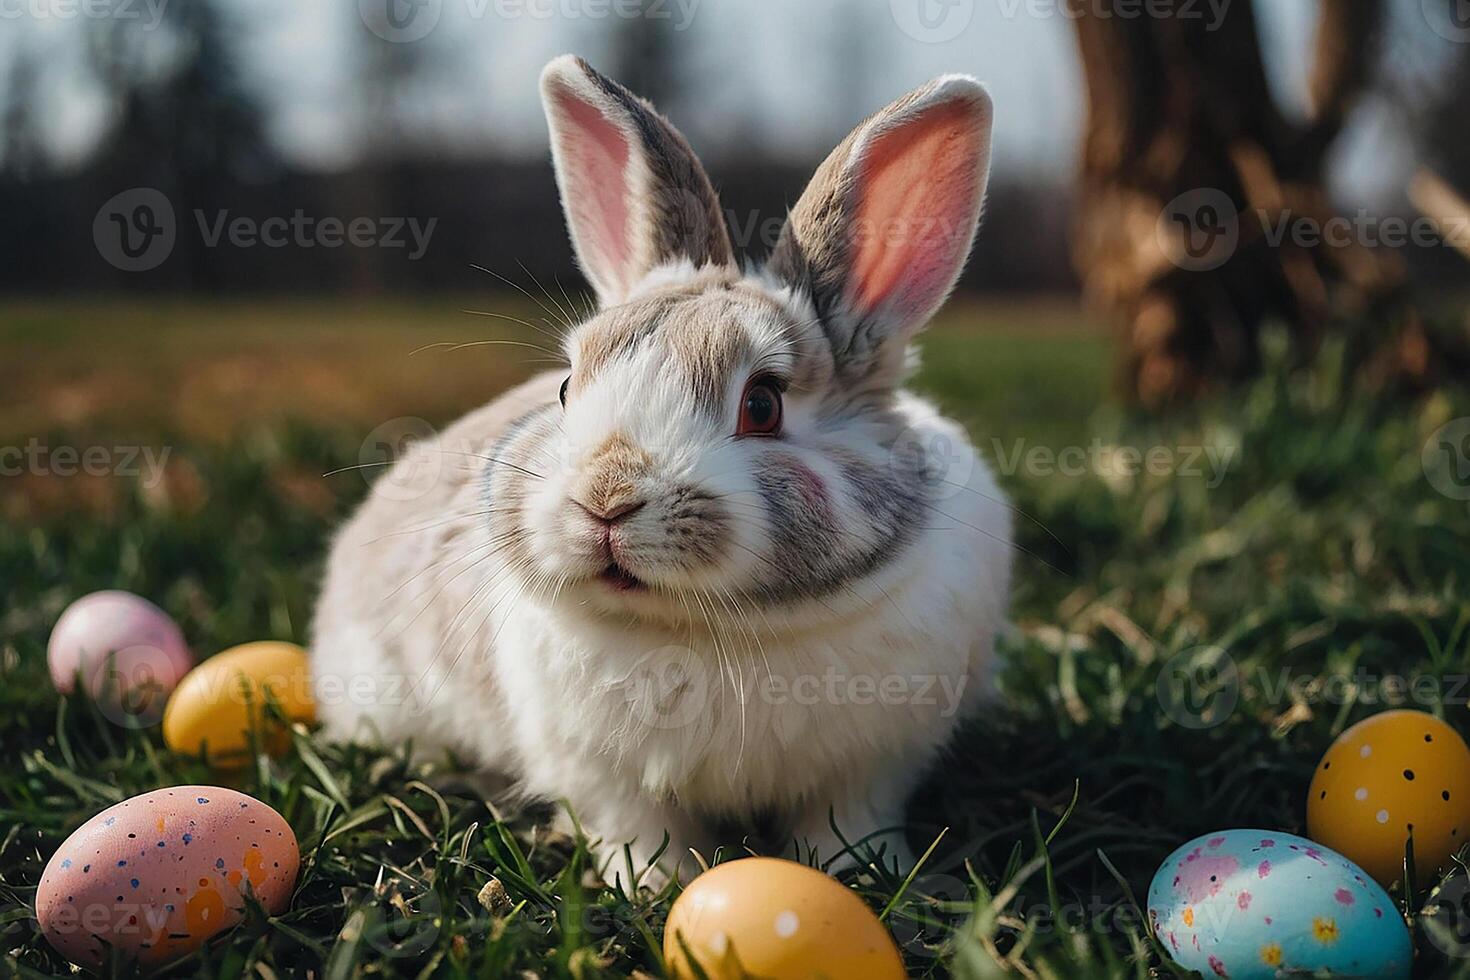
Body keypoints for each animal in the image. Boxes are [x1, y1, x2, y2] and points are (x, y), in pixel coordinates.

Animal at [313, 51, 1011, 881]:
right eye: (566, 386)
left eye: (763, 405)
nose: (606, 501)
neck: (708, 627)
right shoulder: (599, 774)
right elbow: (640, 830)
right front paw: (655, 885)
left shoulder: (874, 768)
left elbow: (846, 822)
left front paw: (856, 874)